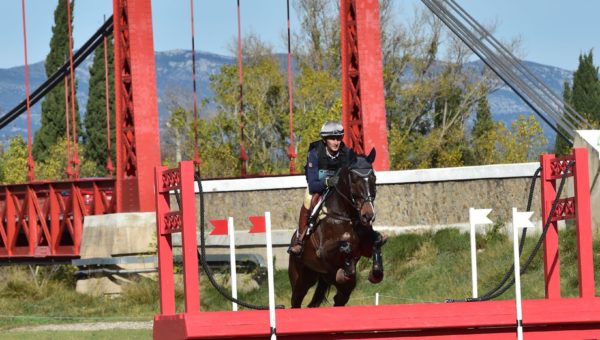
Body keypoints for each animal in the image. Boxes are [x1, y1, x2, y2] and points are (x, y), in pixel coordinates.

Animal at [290, 149, 384, 308]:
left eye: (374, 178)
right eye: (354, 179)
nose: (368, 216)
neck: (346, 216)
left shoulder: (365, 246)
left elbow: (377, 240)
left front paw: (376, 274)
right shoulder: (323, 251)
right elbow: (345, 245)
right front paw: (347, 268)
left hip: (329, 282)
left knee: (340, 298)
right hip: (301, 278)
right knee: (296, 300)